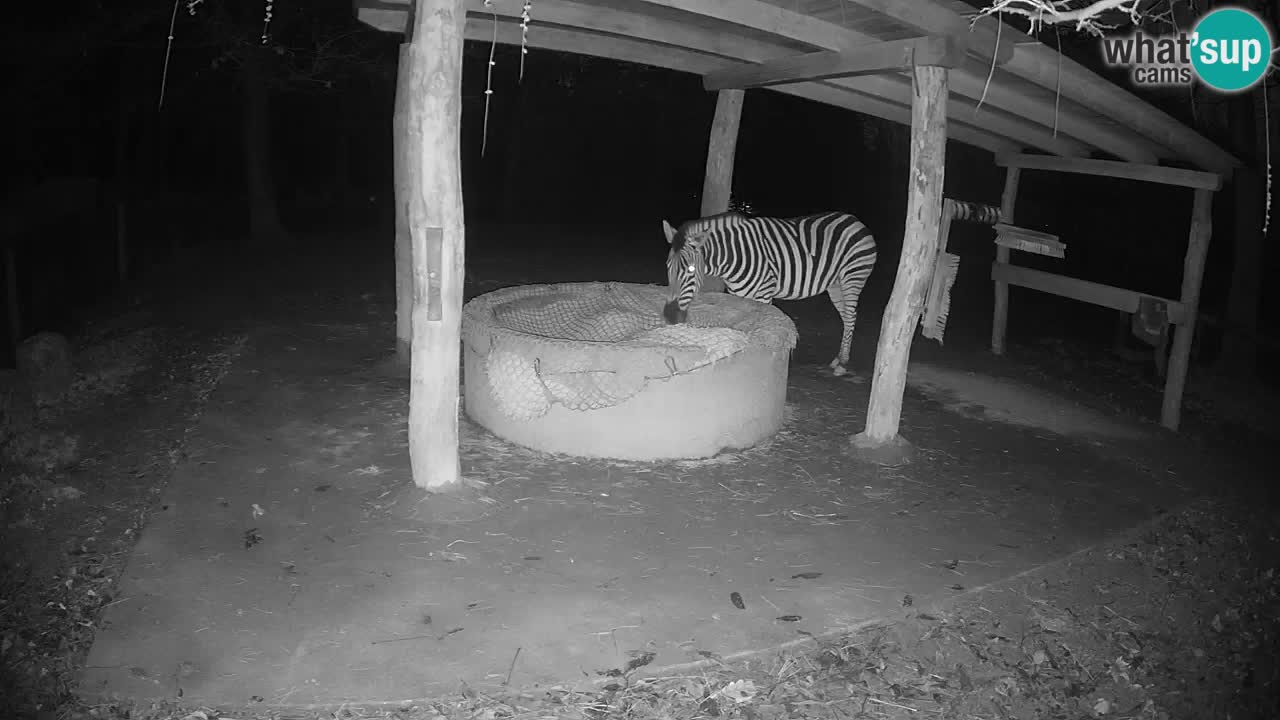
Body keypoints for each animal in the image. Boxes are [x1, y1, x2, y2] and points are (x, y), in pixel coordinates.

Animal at [662, 210, 878, 377]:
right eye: (668, 267)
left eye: (691, 270)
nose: (670, 316)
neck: (734, 256)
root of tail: (854, 219)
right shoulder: (739, 293)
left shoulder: (764, 293)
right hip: (835, 284)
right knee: (846, 317)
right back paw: (838, 359)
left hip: (852, 277)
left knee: (851, 316)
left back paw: (842, 364)